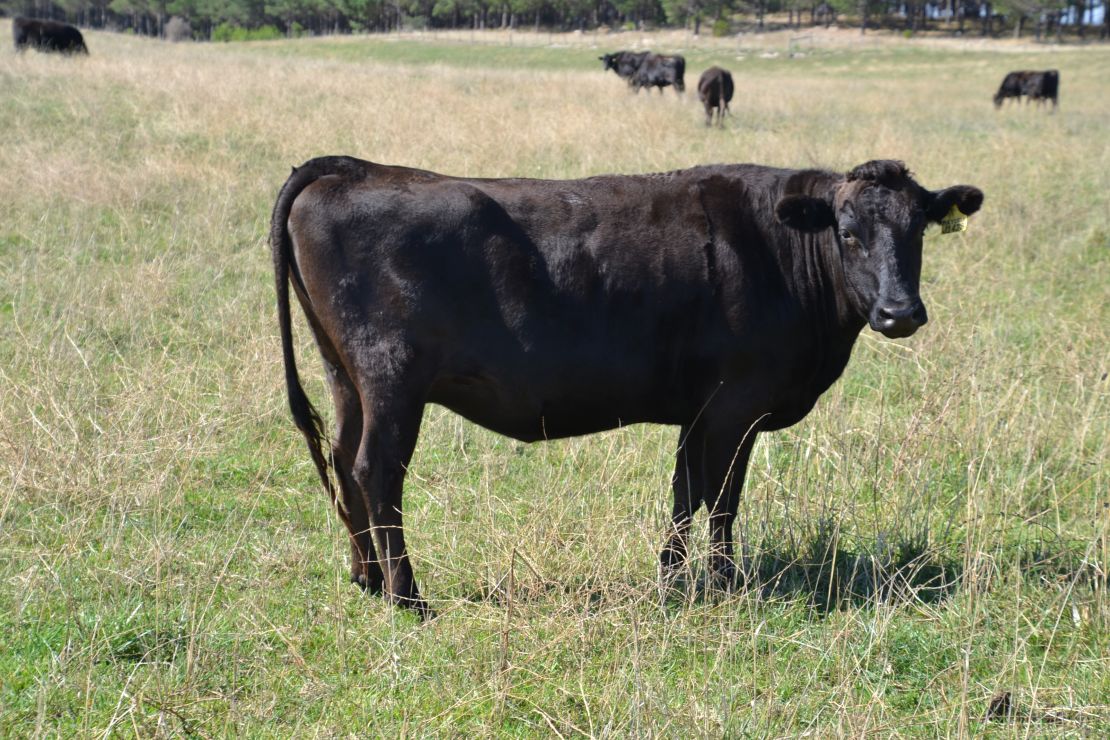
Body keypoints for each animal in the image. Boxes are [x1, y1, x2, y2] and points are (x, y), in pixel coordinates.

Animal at [273, 155, 985, 621]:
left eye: (918, 231)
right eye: (848, 233)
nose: (899, 313)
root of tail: (354, 167)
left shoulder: (702, 410)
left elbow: (685, 493)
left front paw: (673, 580)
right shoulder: (736, 405)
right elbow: (722, 500)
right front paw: (723, 584)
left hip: (346, 377)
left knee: (342, 458)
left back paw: (367, 579)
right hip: (391, 379)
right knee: (376, 470)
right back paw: (408, 598)